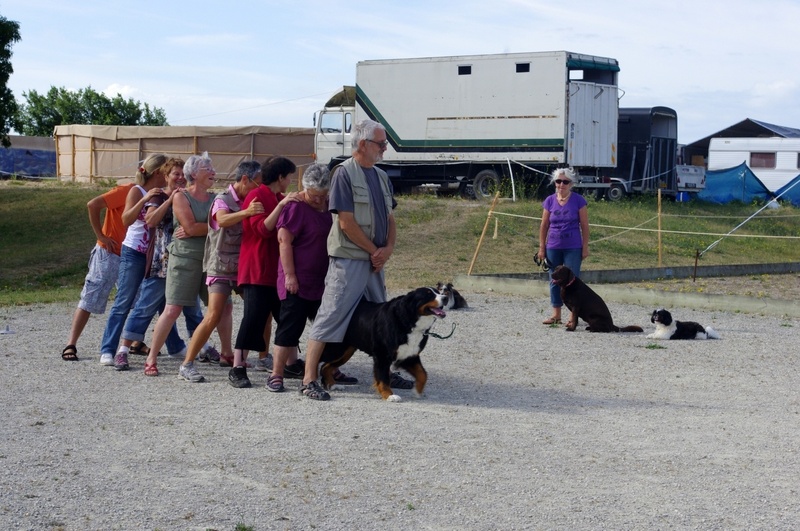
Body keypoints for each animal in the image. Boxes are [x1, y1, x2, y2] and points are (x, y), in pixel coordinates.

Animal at [318, 288, 446, 402]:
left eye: (438, 292)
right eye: (428, 294)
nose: (446, 298)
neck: (407, 321)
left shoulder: (409, 355)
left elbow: (423, 374)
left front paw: (417, 391)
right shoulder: (382, 355)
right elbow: (383, 378)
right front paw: (389, 395)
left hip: (345, 352)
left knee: (325, 366)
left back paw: (333, 385)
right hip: (336, 350)